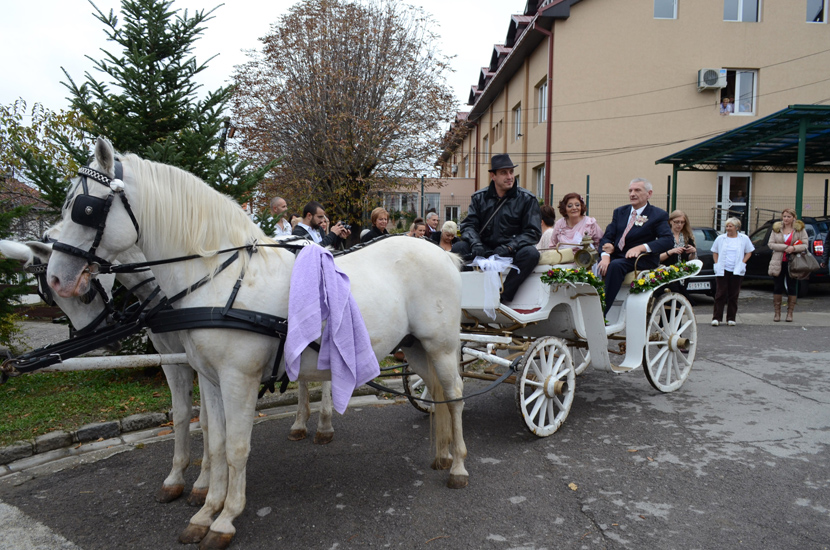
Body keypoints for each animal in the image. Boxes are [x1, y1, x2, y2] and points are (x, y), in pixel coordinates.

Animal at [47, 139, 468, 550]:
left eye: (85, 208)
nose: (54, 279)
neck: (220, 278)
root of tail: (444, 254)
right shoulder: (209, 378)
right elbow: (215, 442)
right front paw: (205, 512)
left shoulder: (239, 378)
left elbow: (236, 447)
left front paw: (226, 518)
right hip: (415, 346)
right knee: (436, 393)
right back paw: (442, 453)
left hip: (443, 347)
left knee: (455, 396)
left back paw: (459, 466)